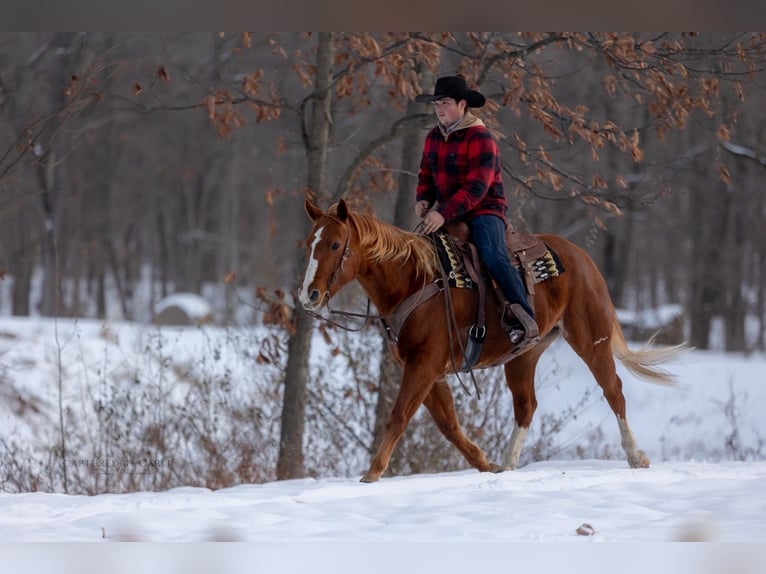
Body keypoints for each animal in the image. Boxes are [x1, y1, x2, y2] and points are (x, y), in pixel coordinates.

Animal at [298, 198, 684, 483]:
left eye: (335, 244)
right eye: (308, 245)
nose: (309, 295)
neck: (415, 278)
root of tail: (581, 257)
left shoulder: (424, 365)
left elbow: (398, 415)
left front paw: (371, 474)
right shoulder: (428, 370)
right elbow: (449, 425)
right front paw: (486, 464)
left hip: (591, 340)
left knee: (613, 390)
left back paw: (636, 456)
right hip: (524, 356)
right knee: (526, 406)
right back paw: (509, 463)